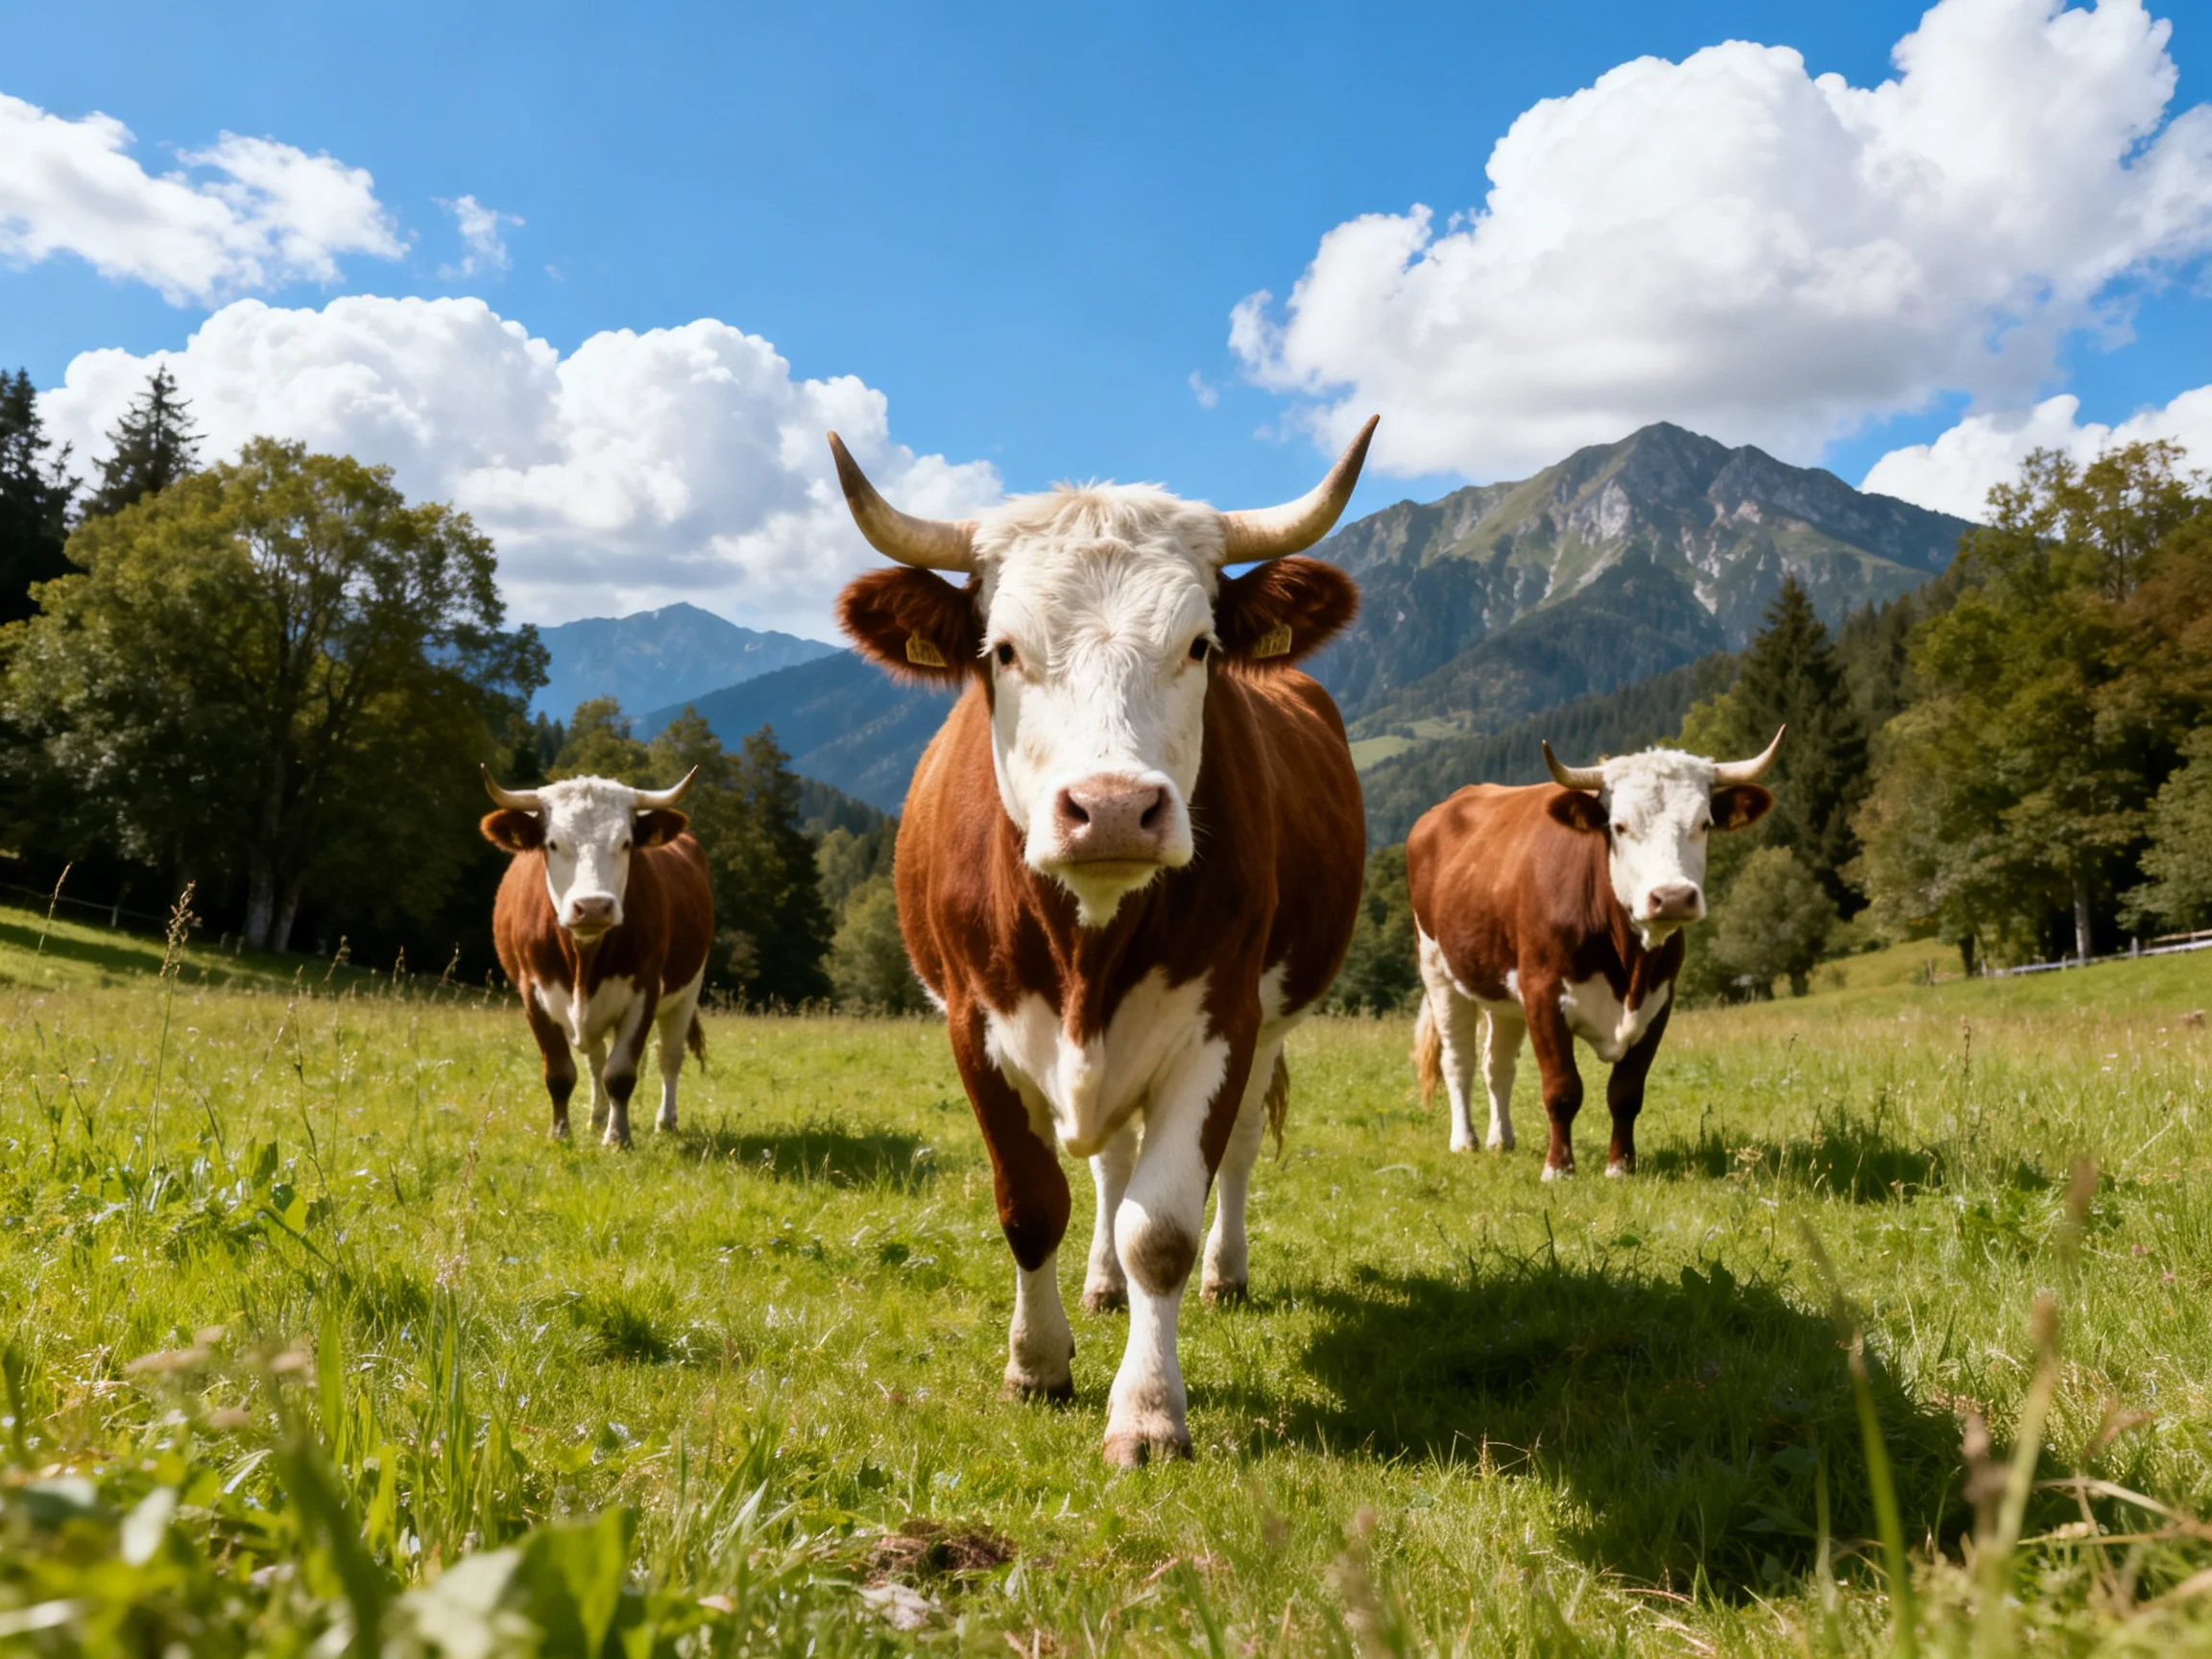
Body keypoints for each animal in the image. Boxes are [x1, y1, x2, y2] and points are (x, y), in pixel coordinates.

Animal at [478, 768, 714, 1148]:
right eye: (552, 843)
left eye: (626, 843)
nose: (592, 906)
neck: (583, 958)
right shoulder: (533, 994)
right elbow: (561, 1073)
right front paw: (560, 1133)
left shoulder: (645, 991)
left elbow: (620, 1074)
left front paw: (618, 1138)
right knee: (595, 1060)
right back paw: (598, 1115)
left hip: (687, 991)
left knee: (669, 1057)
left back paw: (666, 1121)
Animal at [826, 418, 1376, 1465]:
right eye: (1002, 650)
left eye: (1198, 645)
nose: (1115, 808)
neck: (1088, 941)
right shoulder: (973, 1025)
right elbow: (1032, 1204)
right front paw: (1038, 1364)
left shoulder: (1220, 1021)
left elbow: (1159, 1227)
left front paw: (1150, 1411)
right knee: (1108, 1165)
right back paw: (1100, 1288)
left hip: (1272, 1021)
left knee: (1232, 1155)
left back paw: (1226, 1274)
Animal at [1408, 732, 1783, 1179]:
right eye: (1619, 826)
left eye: (1704, 823)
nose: (1673, 896)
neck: (1629, 967)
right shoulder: (1543, 994)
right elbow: (1562, 1088)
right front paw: (1558, 1169)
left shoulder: (1659, 1002)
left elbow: (1626, 1092)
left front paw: (1620, 1166)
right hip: (1439, 971)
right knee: (1458, 1061)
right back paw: (1465, 1141)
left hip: (1501, 989)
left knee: (1497, 1064)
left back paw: (1503, 1139)